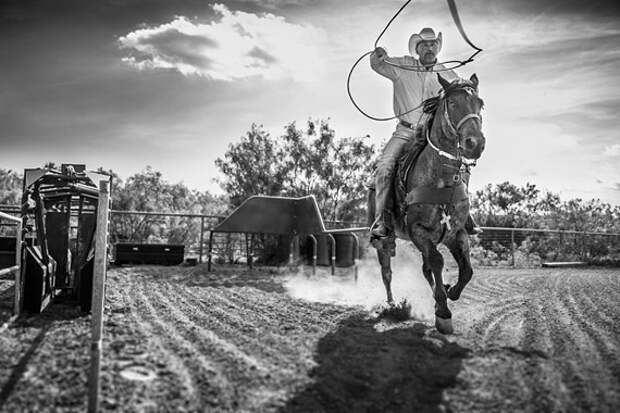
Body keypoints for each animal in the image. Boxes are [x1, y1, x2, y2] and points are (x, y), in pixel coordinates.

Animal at [368, 72, 484, 334]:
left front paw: (449, 294)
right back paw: (392, 305)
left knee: (425, 269)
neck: (442, 179)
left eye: (480, 104)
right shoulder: (419, 231)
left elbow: (467, 270)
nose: (475, 143)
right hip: (384, 240)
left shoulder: (455, 232)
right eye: (452, 103)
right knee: (386, 272)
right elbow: (438, 262)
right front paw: (443, 312)